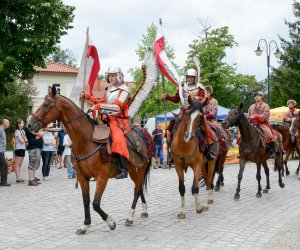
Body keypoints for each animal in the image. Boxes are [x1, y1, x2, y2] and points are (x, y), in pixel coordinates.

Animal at [27, 86, 150, 234]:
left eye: (46, 104)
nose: (29, 125)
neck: (86, 141)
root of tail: (143, 136)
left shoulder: (102, 177)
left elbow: (95, 203)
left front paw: (110, 222)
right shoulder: (82, 177)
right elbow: (86, 201)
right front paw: (86, 224)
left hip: (138, 171)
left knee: (137, 190)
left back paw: (130, 217)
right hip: (135, 172)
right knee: (139, 189)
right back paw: (143, 211)